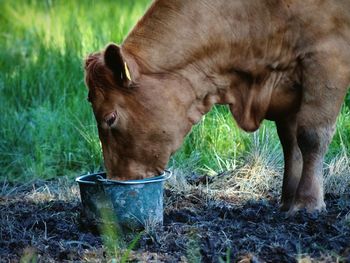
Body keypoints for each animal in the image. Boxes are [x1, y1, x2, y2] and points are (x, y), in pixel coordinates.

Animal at [85, 0, 350, 214]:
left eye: (110, 118)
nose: (118, 179)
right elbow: (290, 142)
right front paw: (287, 201)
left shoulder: (328, 56)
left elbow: (311, 136)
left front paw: (307, 203)